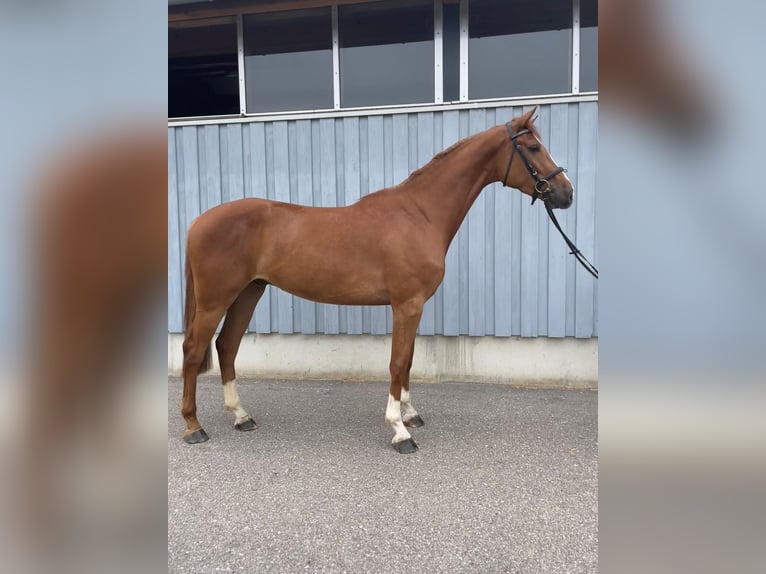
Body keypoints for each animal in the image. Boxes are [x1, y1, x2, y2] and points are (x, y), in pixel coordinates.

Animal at [183, 108, 572, 454]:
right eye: (533, 147)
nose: (566, 193)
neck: (420, 213)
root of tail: (198, 221)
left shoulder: (413, 306)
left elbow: (409, 360)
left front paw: (410, 414)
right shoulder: (406, 304)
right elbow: (397, 363)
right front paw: (399, 431)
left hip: (248, 292)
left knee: (226, 347)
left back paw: (241, 416)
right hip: (216, 298)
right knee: (194, 349)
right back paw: (194, 426)